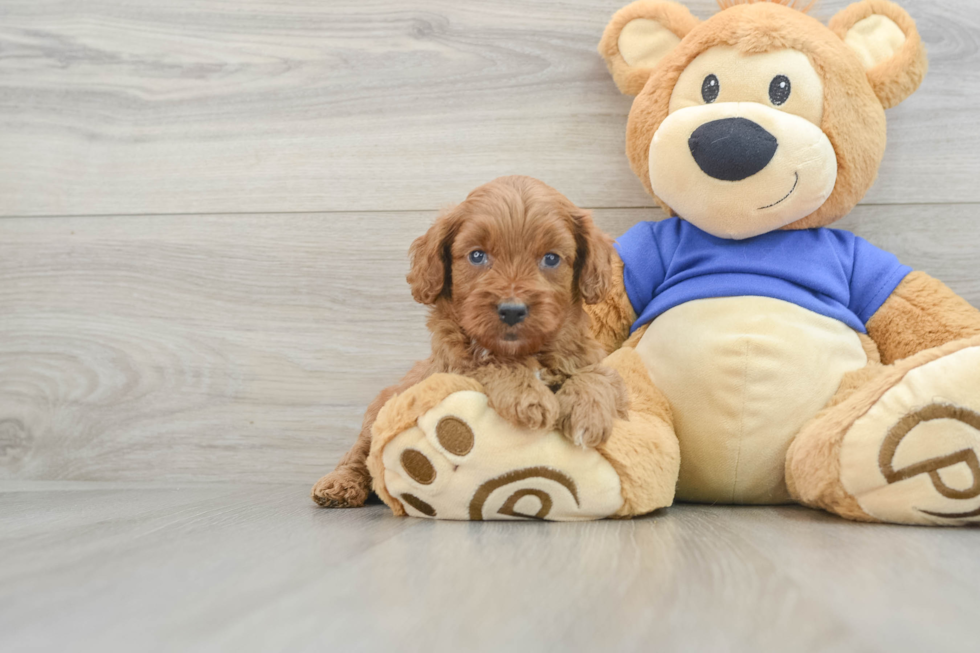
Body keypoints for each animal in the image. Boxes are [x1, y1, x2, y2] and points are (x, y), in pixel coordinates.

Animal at [314, 176, 628, 506]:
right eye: (477, 255)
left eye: (552, 258)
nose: (512, 310)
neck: (522, 352)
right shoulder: (453, 369)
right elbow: (487, 364)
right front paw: (528, 397)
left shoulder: (591, 360)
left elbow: (599, 376)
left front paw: (588, 414)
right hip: (378, 411)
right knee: (360, 453)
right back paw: (339, 484)